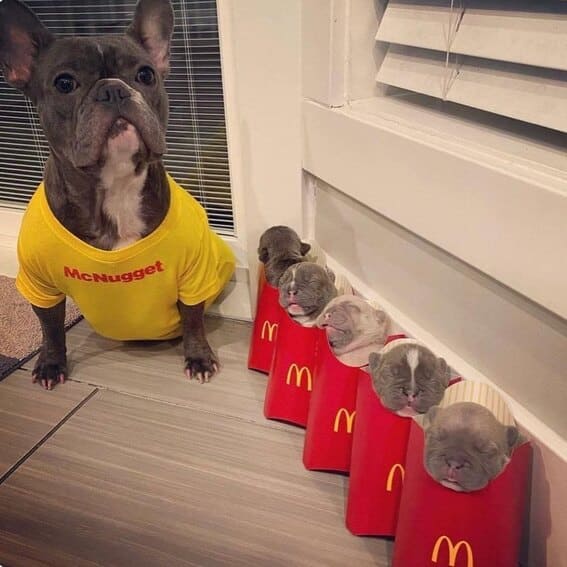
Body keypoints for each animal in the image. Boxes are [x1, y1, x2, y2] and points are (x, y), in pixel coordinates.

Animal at [0, 0, 235, 388]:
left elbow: (193, 318)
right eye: (64, 83)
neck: (117, 185)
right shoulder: (40, 285)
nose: (113, 89)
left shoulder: (193, 275)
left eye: (146, 75)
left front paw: (199, 357)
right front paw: (50, 363)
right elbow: (50, 326)